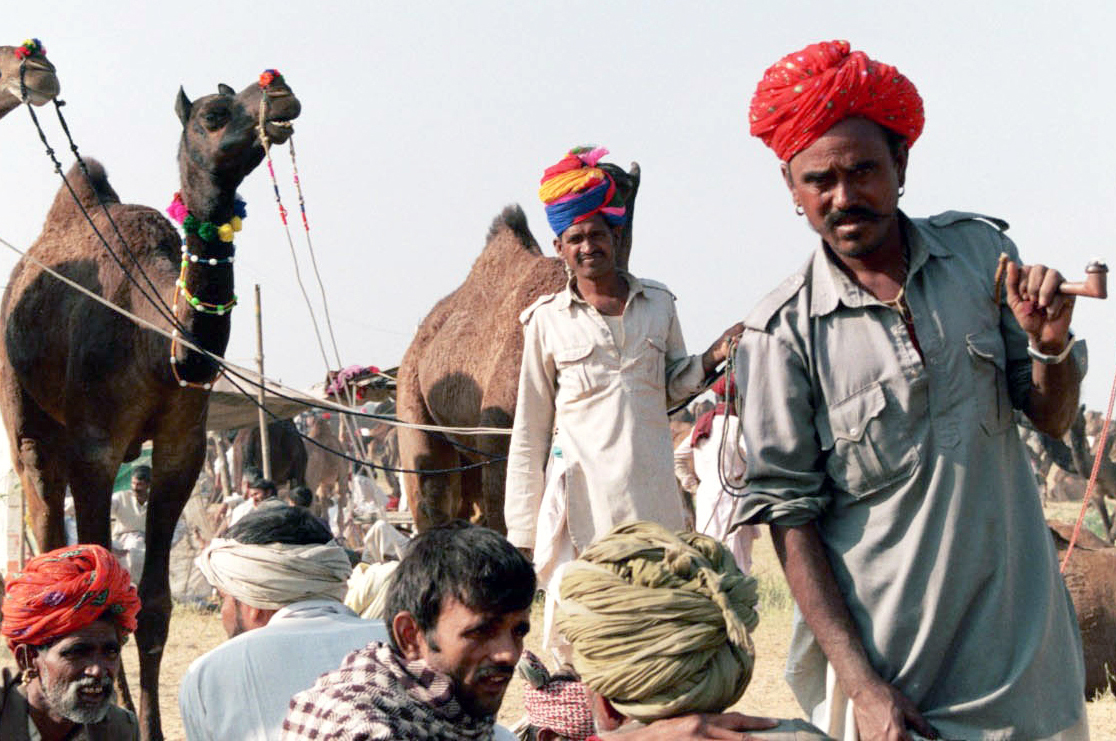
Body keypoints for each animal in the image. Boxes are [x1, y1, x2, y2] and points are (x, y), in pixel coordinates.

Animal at [0, 72, 301, 736]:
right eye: (214, 113)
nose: (279, 92)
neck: (156, 337)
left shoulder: (182, 446)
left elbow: (153, 604)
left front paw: (150, 726)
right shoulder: (94, 448)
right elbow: (97, 585)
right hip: (28, 423)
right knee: (45, 525)